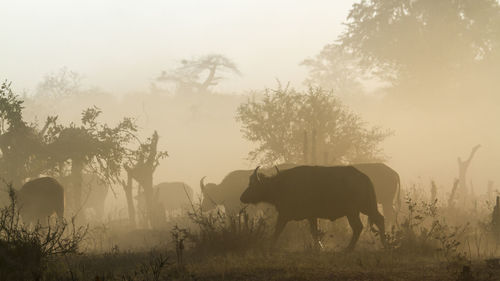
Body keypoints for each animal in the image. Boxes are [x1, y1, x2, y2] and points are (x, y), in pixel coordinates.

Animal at [239, 165, 386, 250]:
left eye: (252, 185)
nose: (242, 197)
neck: (281, 185)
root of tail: (365, 178)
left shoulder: (284, 214)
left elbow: (277, 230)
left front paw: (270, 247)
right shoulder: (312, 216)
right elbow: (314, 232)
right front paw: (319, 248)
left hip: (358, 209)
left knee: (366, 224)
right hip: (361, 209)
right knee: (371, 222)